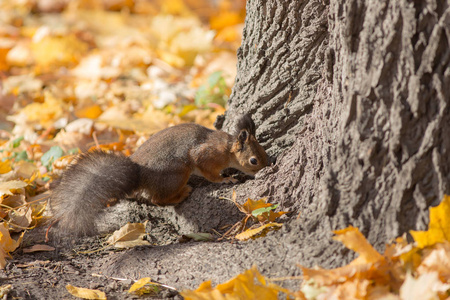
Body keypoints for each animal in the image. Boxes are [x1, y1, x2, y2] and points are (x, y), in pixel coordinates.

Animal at [50, 113, 268, 240]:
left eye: (264, 152)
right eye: (253, 161)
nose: (266, 168)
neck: (227, 148)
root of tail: (139, 172)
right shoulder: (206, 156)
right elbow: (210, 174)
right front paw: (225, 179)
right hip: (177, 173)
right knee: (158, 199)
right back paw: (182, 193)